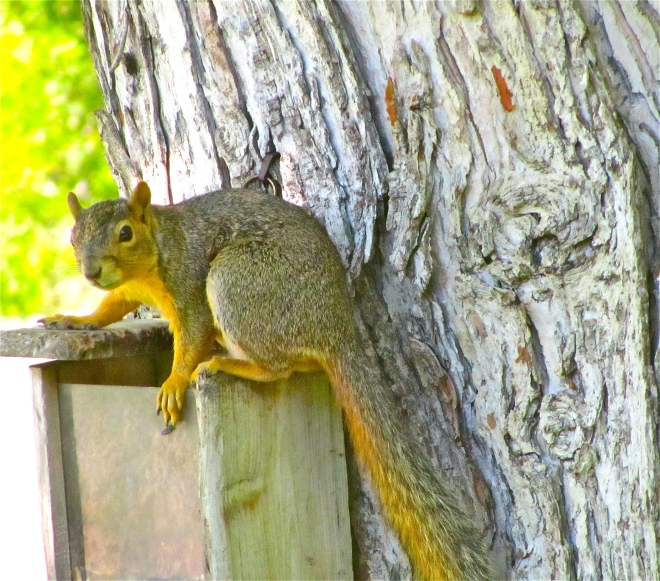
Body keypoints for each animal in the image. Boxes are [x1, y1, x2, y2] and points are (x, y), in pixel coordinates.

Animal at [40, 181, 493, 580]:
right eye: (73, 237)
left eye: (125, 233)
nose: (91, 271)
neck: (156, 254)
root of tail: (337, 328)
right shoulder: (129, 293)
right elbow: (109, 308)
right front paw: (74, 319)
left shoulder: (189, 285)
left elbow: (192, 338)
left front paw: (172, 382)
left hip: (238, 281)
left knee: (277, 367)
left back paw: (227, 364)